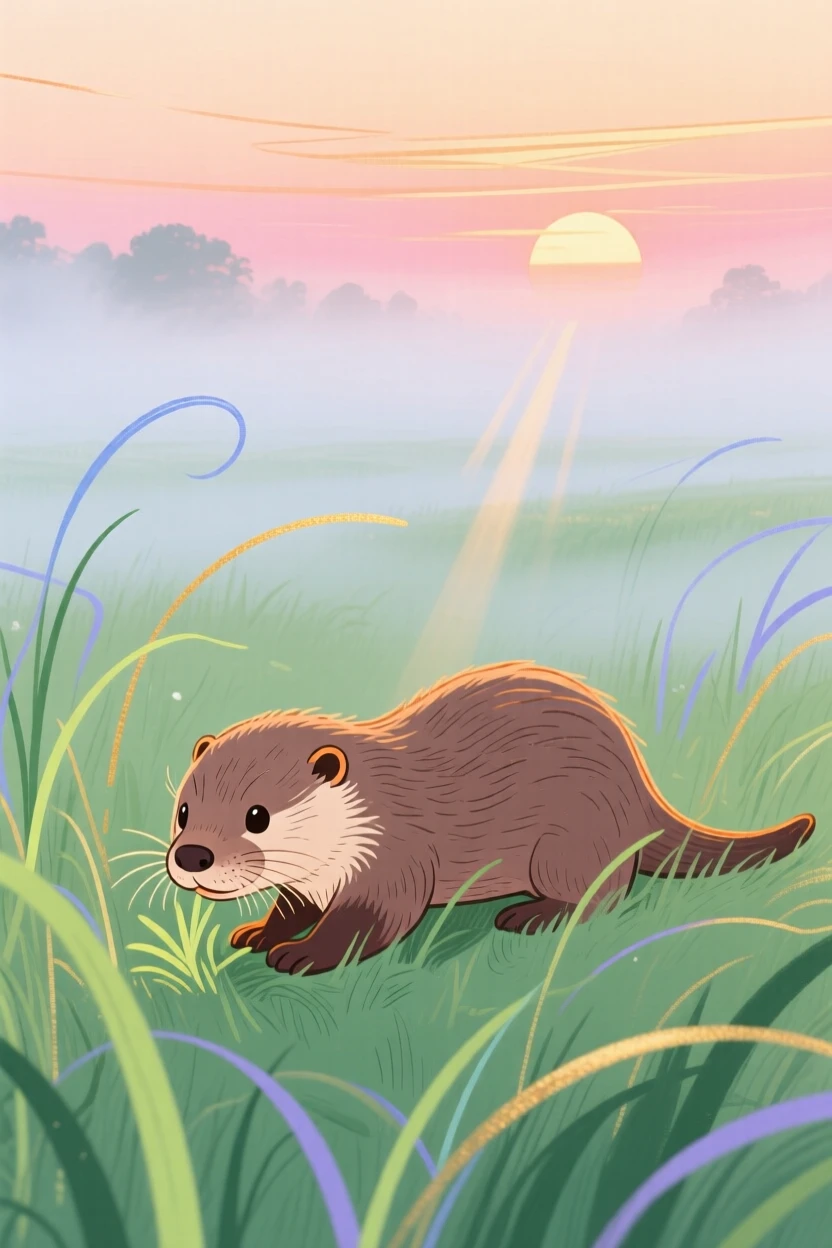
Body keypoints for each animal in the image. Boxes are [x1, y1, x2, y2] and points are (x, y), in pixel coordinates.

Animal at [165, 662, 815, 975]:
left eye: (257, 816)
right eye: (183, 811)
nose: (193, 856)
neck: (361, 821)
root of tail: (639, 785)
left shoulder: (394, 859)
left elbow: (373, 923)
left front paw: (304, 954)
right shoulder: (312, 882)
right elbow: (291, 908)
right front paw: (261, 932)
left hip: (569, 840)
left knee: (606, 892)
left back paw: (533, 916)